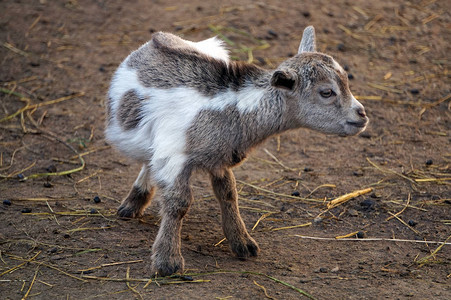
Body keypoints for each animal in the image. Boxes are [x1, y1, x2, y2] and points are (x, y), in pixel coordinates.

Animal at [105, 25, 368, 276]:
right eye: (326, 92)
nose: (361, 115)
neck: (230, 110)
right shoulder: (175, 156)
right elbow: (178, 203)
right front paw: (167, 262)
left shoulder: (220, 157)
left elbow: (228, 193)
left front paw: (243, 243)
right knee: (149, 161)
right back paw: (132, 204)